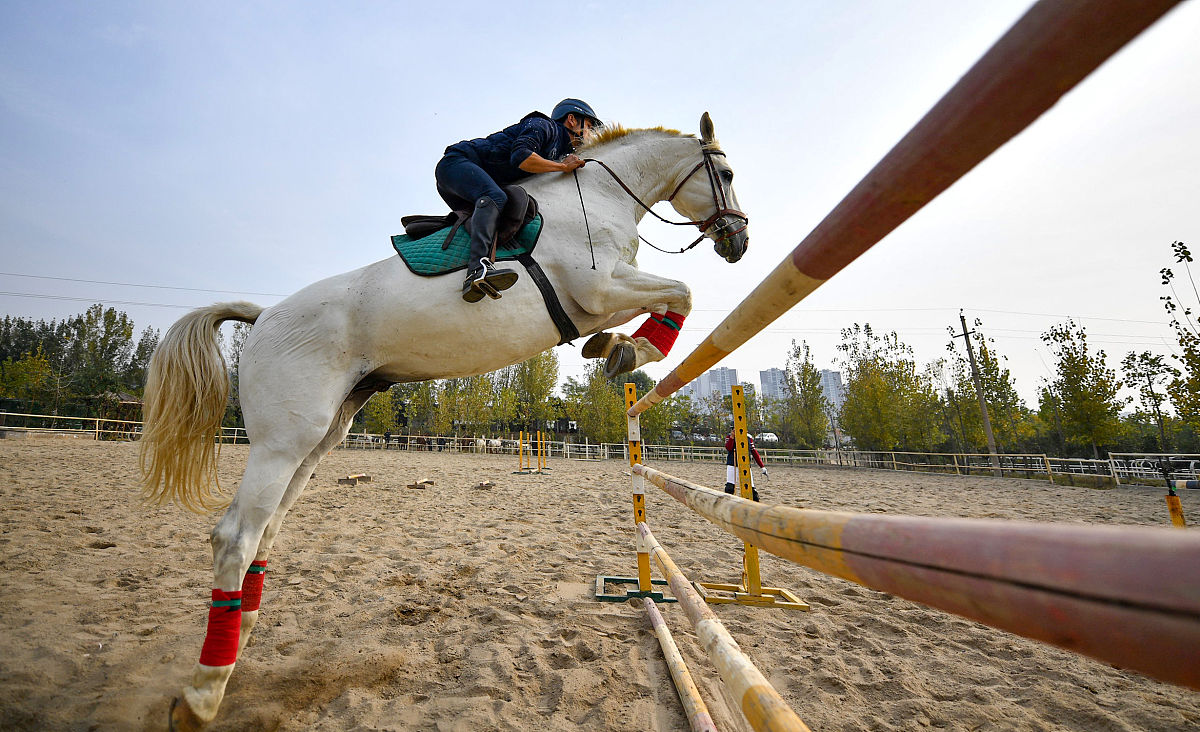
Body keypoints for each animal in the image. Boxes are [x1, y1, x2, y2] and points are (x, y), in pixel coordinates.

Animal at [142, 113, 748, 730]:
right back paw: (203, 693)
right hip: (283, 440)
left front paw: (617, 347)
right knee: (235, 537)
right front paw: (630, 350)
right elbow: (681, 291)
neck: (599, 196)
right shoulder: (599, 288)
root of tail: (264, 317)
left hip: (322, 436)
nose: (738, 241)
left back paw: (238, 641)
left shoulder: (600, 299)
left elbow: (668, 300)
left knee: (268, 530)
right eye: (725, 174)